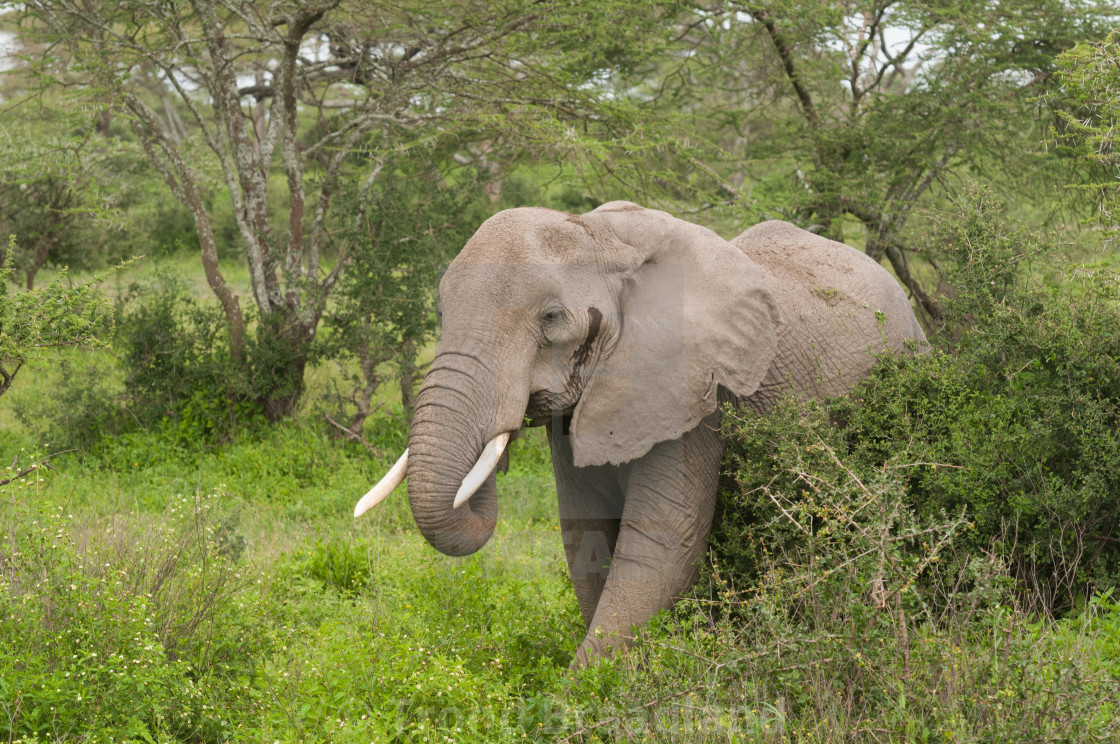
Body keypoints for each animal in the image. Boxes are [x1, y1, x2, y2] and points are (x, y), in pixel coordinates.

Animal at [351, 200, 927, 663]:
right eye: (442, 309)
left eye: (552, 318)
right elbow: (585, 536)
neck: (601, 235)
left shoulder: (695, 395)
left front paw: (577, 699)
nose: (503, 437)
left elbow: (660, 544)